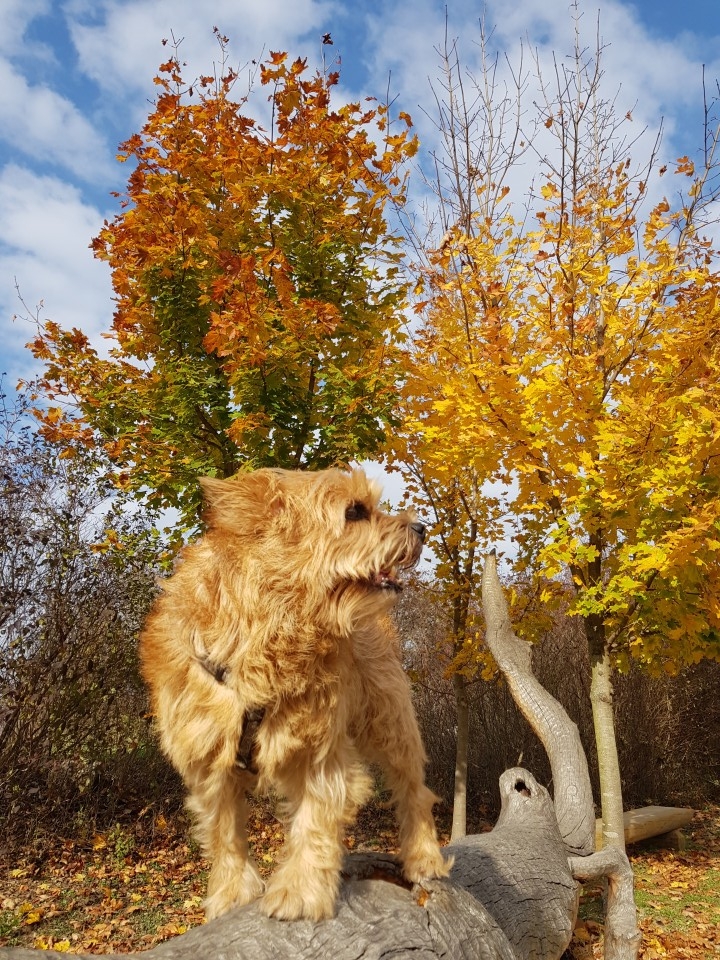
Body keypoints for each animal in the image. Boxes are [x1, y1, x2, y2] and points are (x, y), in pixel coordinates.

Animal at [139, 466, 450, 924]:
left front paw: (299, 891)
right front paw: (233, 894)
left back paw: (424, 857)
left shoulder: (320, 751)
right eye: (354, 512)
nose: (421, 527)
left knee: (414, 790)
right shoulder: (208, 761)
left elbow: (313, 821)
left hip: (391, 722)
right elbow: (224, 832)